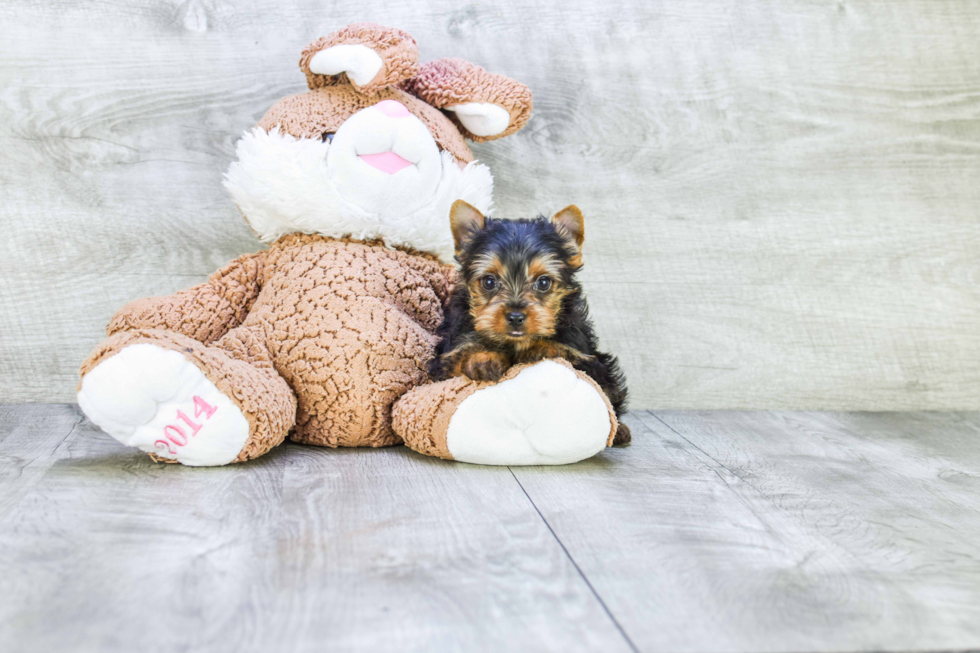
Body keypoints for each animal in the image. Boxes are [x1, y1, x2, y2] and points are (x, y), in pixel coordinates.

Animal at [430, 199, 632, 444]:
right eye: (489, 281)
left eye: (543, 282)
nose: (516, 316)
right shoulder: (445, 358)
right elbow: (461, 355)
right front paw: (483, 359)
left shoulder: (586, 357)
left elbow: (567, 353)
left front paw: (540, 348)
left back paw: (620, 430)